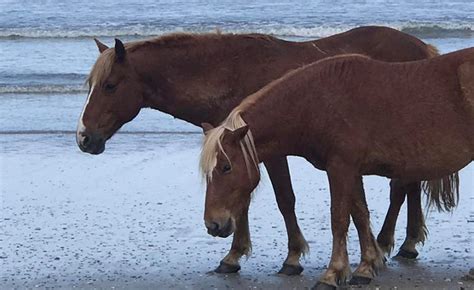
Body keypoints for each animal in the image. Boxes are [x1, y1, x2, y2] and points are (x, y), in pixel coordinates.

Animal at [77, 26, 456, 276]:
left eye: (110, 86)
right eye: (92, 85)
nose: (84, 138)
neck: (230, 74)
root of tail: (421, 48)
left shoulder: (268, 153)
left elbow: (283, 199)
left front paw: (291, 257)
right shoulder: (235, 150)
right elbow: (241, 201)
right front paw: (233, 255)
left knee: (400, 188)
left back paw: (390, 242)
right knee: (408, 186)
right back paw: (405, 242)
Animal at [200, 47, 474, 288]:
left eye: (226, 167)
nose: (213, 225)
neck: (319, 102)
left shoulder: (341, 168)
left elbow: (339, 219)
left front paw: (332, 273)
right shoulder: (352, 171)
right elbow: (360, 215)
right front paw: (366, 267)